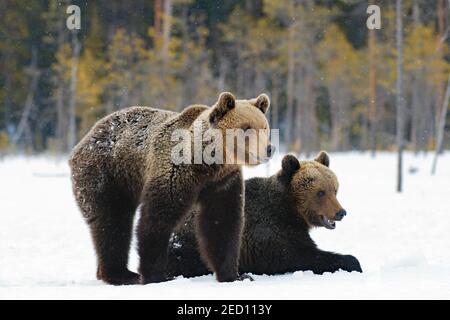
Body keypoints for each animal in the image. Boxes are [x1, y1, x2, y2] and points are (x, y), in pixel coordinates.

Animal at [69, 91, 272, 284]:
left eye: (264, 127)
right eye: (246, 128)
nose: (269, 149)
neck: (207, 164)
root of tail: (84, 140)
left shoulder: (223, 182)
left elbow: (222, 222)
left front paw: (235, 275)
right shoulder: (174, 171)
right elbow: (158, 219)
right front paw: (156, 276)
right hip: (108, 174)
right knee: (112, 221)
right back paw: (123, 274)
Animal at [168, 152, 362, 278]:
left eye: (334, 189)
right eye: (320, 192)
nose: (340, 212)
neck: (290, 210)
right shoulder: (267, 232)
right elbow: (298, 254)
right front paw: (352, 261)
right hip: (189, 245)